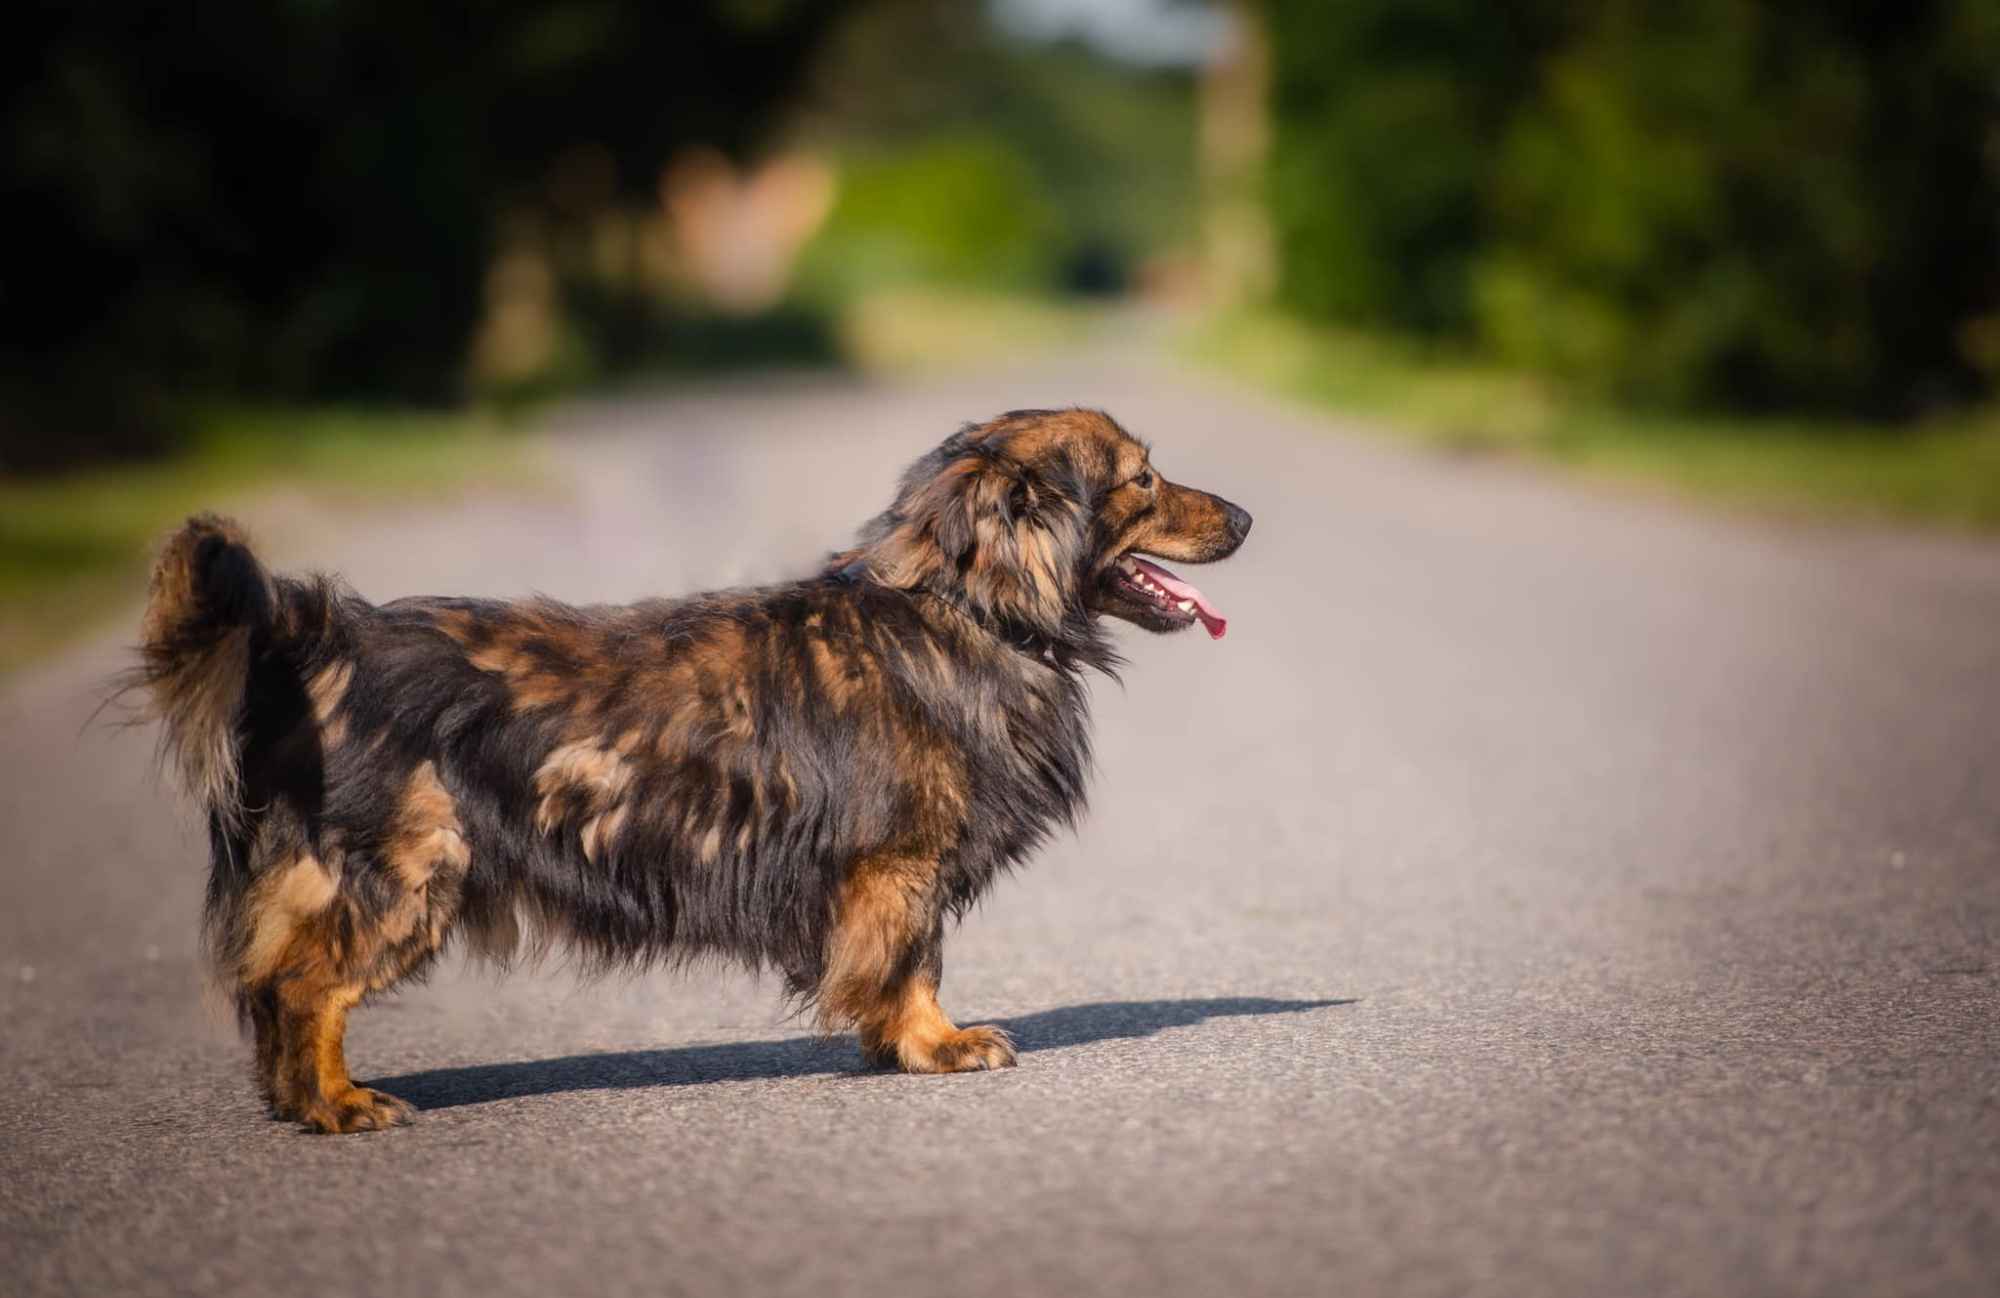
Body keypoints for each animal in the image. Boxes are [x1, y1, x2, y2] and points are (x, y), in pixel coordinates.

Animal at [133, 410, 1248, 1128]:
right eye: (1140, 479)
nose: (1242, 520)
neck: (960, 609)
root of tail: (314, 639)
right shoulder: (897, 864)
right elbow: (911, 963)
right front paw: (936, 1044)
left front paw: (897, 1045)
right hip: (411, 872)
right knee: (305, 985)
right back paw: (337, 1102)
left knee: (273, 985)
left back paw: (296, 1098)